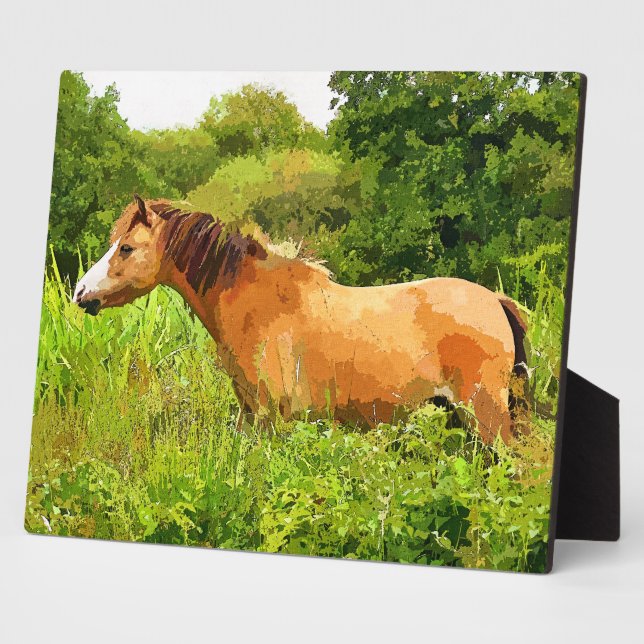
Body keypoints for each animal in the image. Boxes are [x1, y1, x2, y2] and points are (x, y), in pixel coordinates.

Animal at [73, 195, 528, 443]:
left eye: (126, 248)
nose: (80, 292)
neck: (253, 301)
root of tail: (494, 301)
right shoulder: (249, 415)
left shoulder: (271, 418)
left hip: (485, 417)